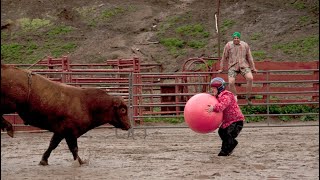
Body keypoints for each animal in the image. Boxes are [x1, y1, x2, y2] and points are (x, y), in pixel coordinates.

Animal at [0, 64, 131, 166]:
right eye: (123, 110)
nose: (129, 125)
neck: (87, 104)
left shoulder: (60, 131)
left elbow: (52, 145)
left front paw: (44, 160)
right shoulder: (70, 132)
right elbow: (74, 149)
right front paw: (79, 162)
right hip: (10, 104)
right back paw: (8, 127)